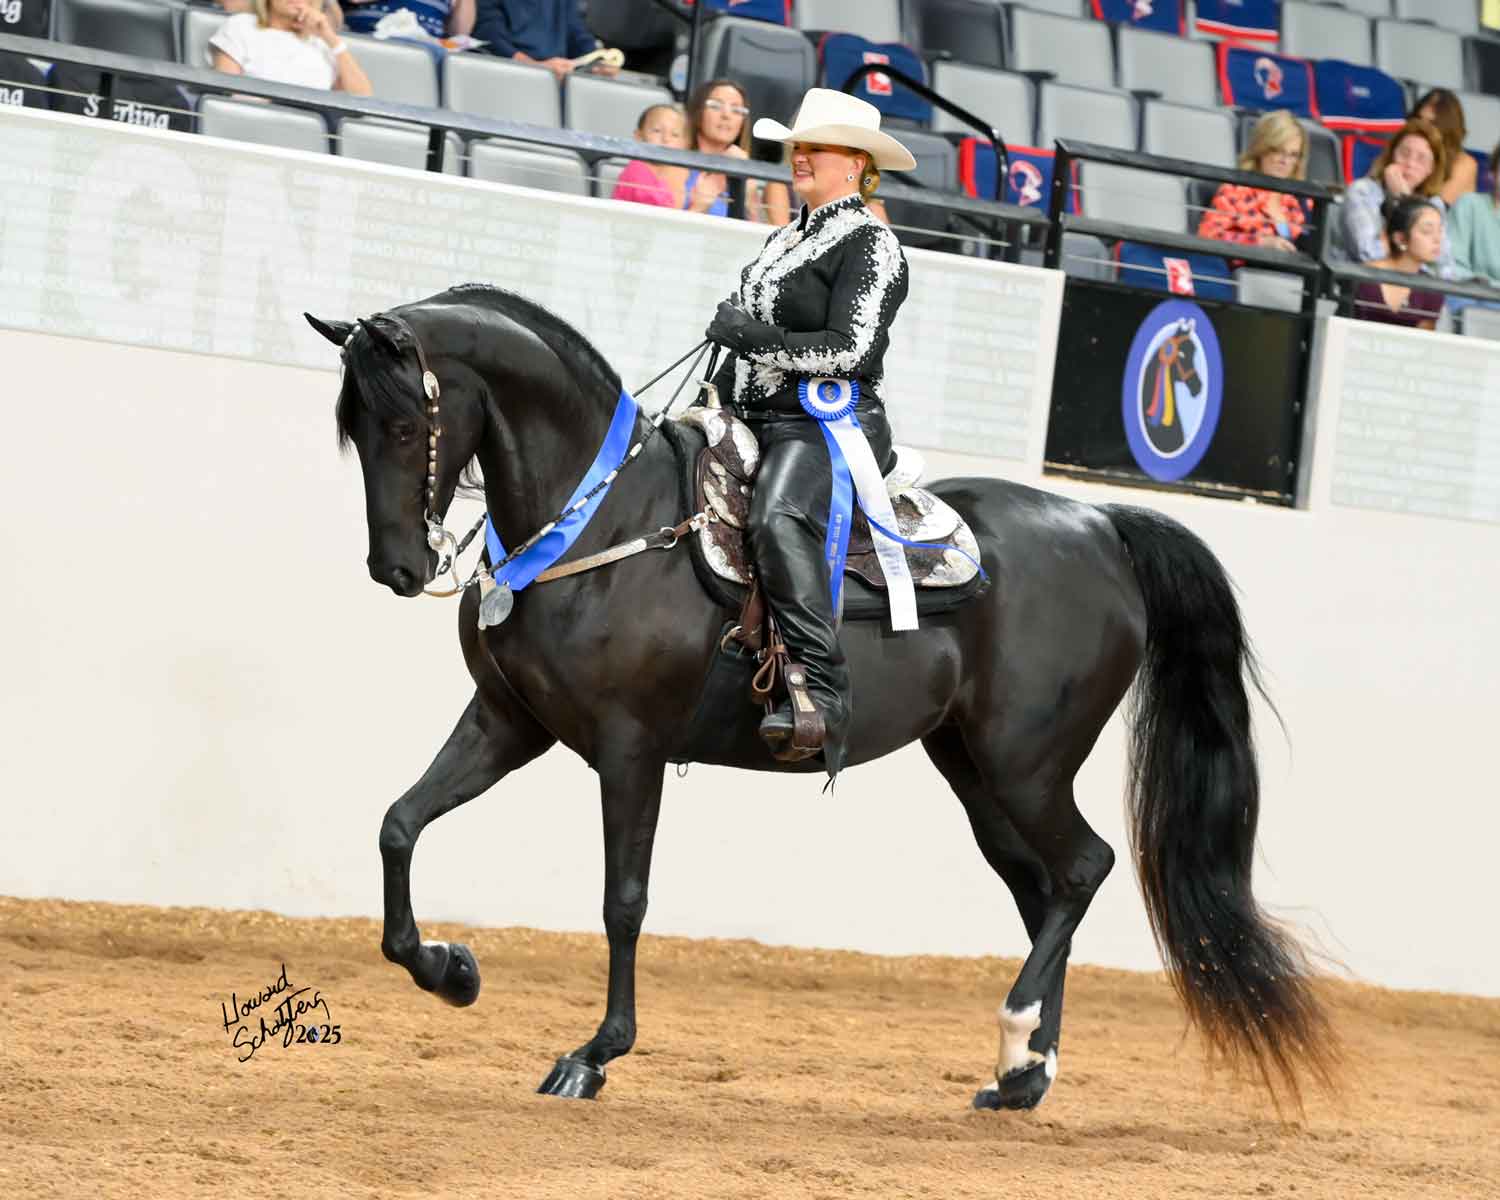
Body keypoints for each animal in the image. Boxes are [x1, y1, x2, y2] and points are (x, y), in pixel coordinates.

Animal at [304, 284, 1337, 1112]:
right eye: (354, 430)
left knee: (1083, 868)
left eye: (405, 427)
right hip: (974, 769)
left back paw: (1015, 1040)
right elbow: (400, 823)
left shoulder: (630, 750)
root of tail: (1099, 521)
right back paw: (1024, 1075)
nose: (398, 569)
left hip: (1026, 762)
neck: (602, 517)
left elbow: (623, 900)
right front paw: (450, 970)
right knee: (1042, 886)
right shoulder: (510, 722)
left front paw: (593, 1056)